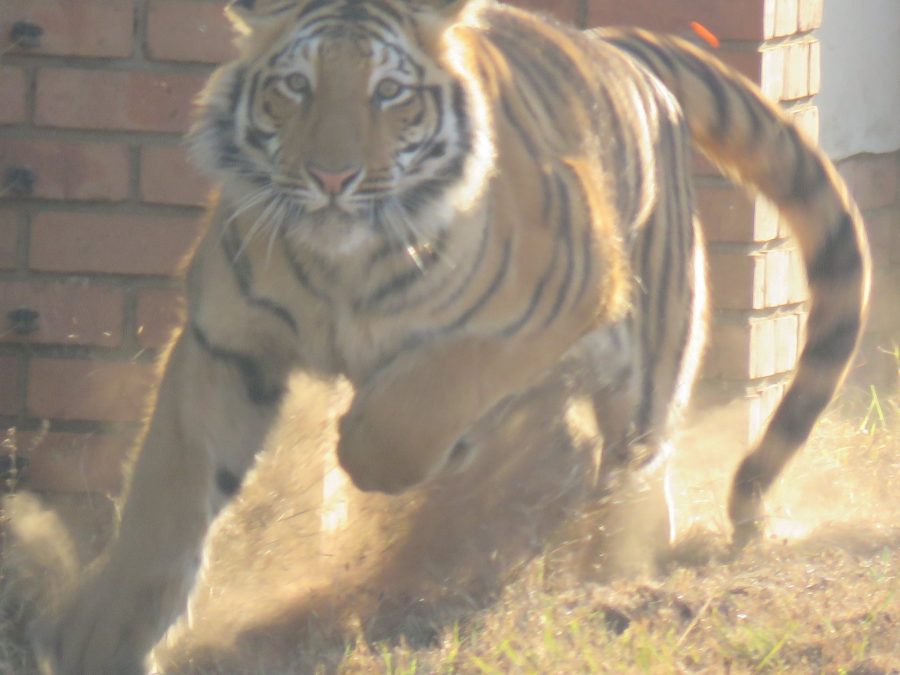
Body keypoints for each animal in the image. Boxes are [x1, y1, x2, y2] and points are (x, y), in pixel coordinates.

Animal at [33, 0, 870, 672]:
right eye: (295, 86)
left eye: (389, 93)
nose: (331, 178)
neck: (341, 266)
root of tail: (610, 44)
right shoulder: (225, 345)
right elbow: (169, 494)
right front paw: (103, 637)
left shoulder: (554, 292)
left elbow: (413, 408)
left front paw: (369, 438)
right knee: (566, 446)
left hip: (647, 350)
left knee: (633, 459)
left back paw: (610, 570)